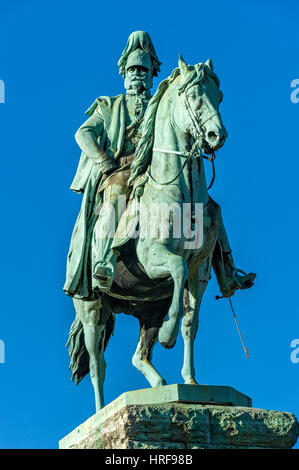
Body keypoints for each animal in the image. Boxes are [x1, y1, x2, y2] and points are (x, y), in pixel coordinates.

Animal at [67, 56, 227, 412]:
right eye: (193, 95)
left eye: (219, 96)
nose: (216, 134)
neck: (181, 193)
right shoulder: (154, 259)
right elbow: (177, 269)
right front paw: (168, 335)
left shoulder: (200, 272)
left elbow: (190, 322)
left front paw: (191, 380)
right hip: (91, 306)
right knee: (98, 363)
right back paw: (100, 412)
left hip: (149, 308)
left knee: (138, 356)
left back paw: (159, 384)